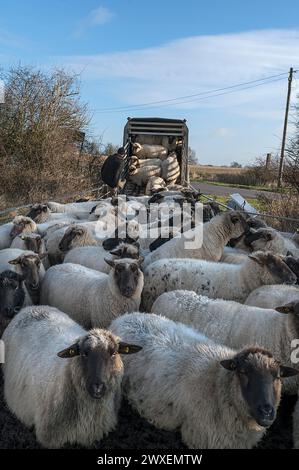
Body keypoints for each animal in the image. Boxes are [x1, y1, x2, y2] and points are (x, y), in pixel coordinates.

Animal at [110, 312, 299, 448]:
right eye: (243, 372)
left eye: (277, 376)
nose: (266, 412)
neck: (218, 384)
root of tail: (126, 316)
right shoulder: (201, 438)